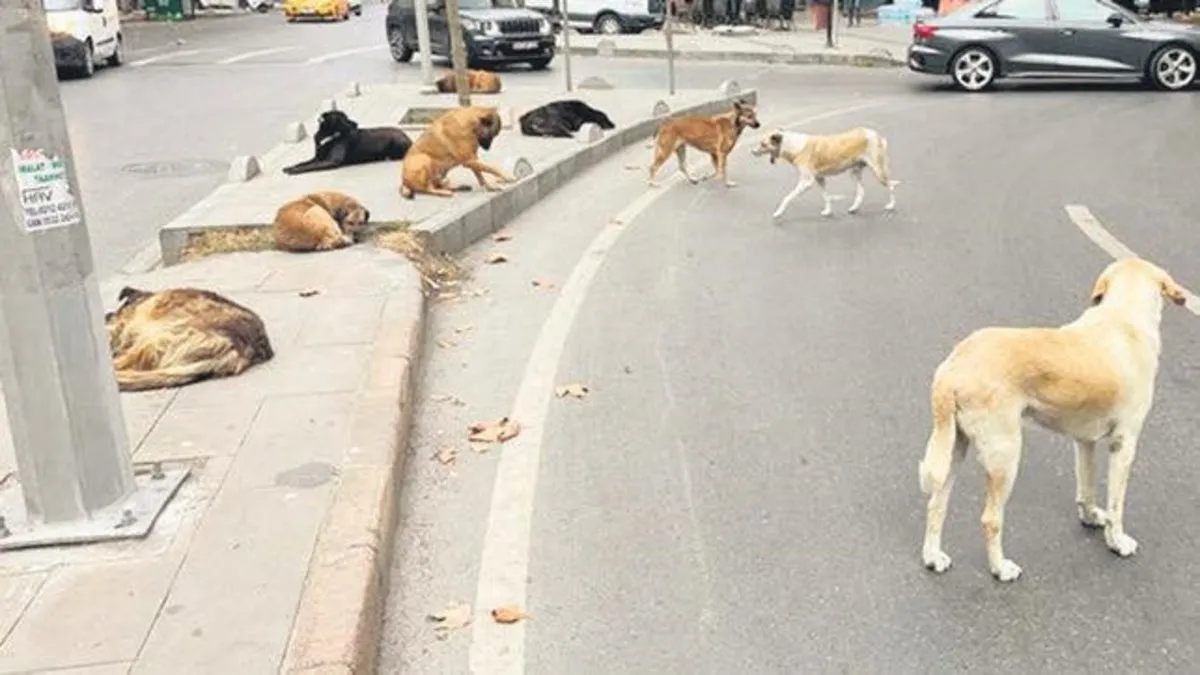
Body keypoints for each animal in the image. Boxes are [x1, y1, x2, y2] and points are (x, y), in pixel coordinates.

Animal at [283, 107, 415, 176]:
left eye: (346, 117)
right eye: (342, 118)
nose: (356, 123)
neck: (329, 136)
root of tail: (408, 137)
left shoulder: (331, 161)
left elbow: (309, 167)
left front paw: (294, 170)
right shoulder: (317, 158)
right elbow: (302, 163)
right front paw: (290, 167)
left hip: (396, 142)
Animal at [753, 126, 897, 218]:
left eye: (763, 144)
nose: (752, 151)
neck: (792, 145)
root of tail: (876, 134)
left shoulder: (806, 182)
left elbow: (787, 198)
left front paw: (778, 213)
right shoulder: (819, 179)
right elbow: (826, 196)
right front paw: (828, 211)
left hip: (878, 171)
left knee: (891, 186)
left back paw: (891, 205)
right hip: (854, 172)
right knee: (861, 191)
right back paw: (854, 208)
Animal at [916, 254, 1190, 581]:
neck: (1122, 317)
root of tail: (953, 367)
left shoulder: (1084, 442)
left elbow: (1086, 487)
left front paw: (1090, 517)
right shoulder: (1124, 444)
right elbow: (1117, 505)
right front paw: (1117, 542)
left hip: (954, 448)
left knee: (936, 503)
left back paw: (933, 557)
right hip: (1005, 456)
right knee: (990, 519)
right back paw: (1000, 568)